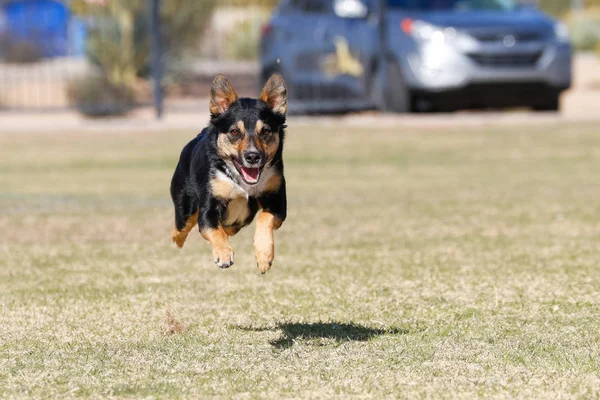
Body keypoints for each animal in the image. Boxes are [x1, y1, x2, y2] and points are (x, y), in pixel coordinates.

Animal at [170, 73, 290, 274]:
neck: (243, 183)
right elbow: (213, 229)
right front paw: (224, 254)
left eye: (265, 131)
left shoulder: (277, 202)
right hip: (185, 209)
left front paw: (264, 256)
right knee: (179, 230)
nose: (252, 156)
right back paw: (176, 244)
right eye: (234, 132)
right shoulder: (209, 207)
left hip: (237, 221)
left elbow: (264, 218)